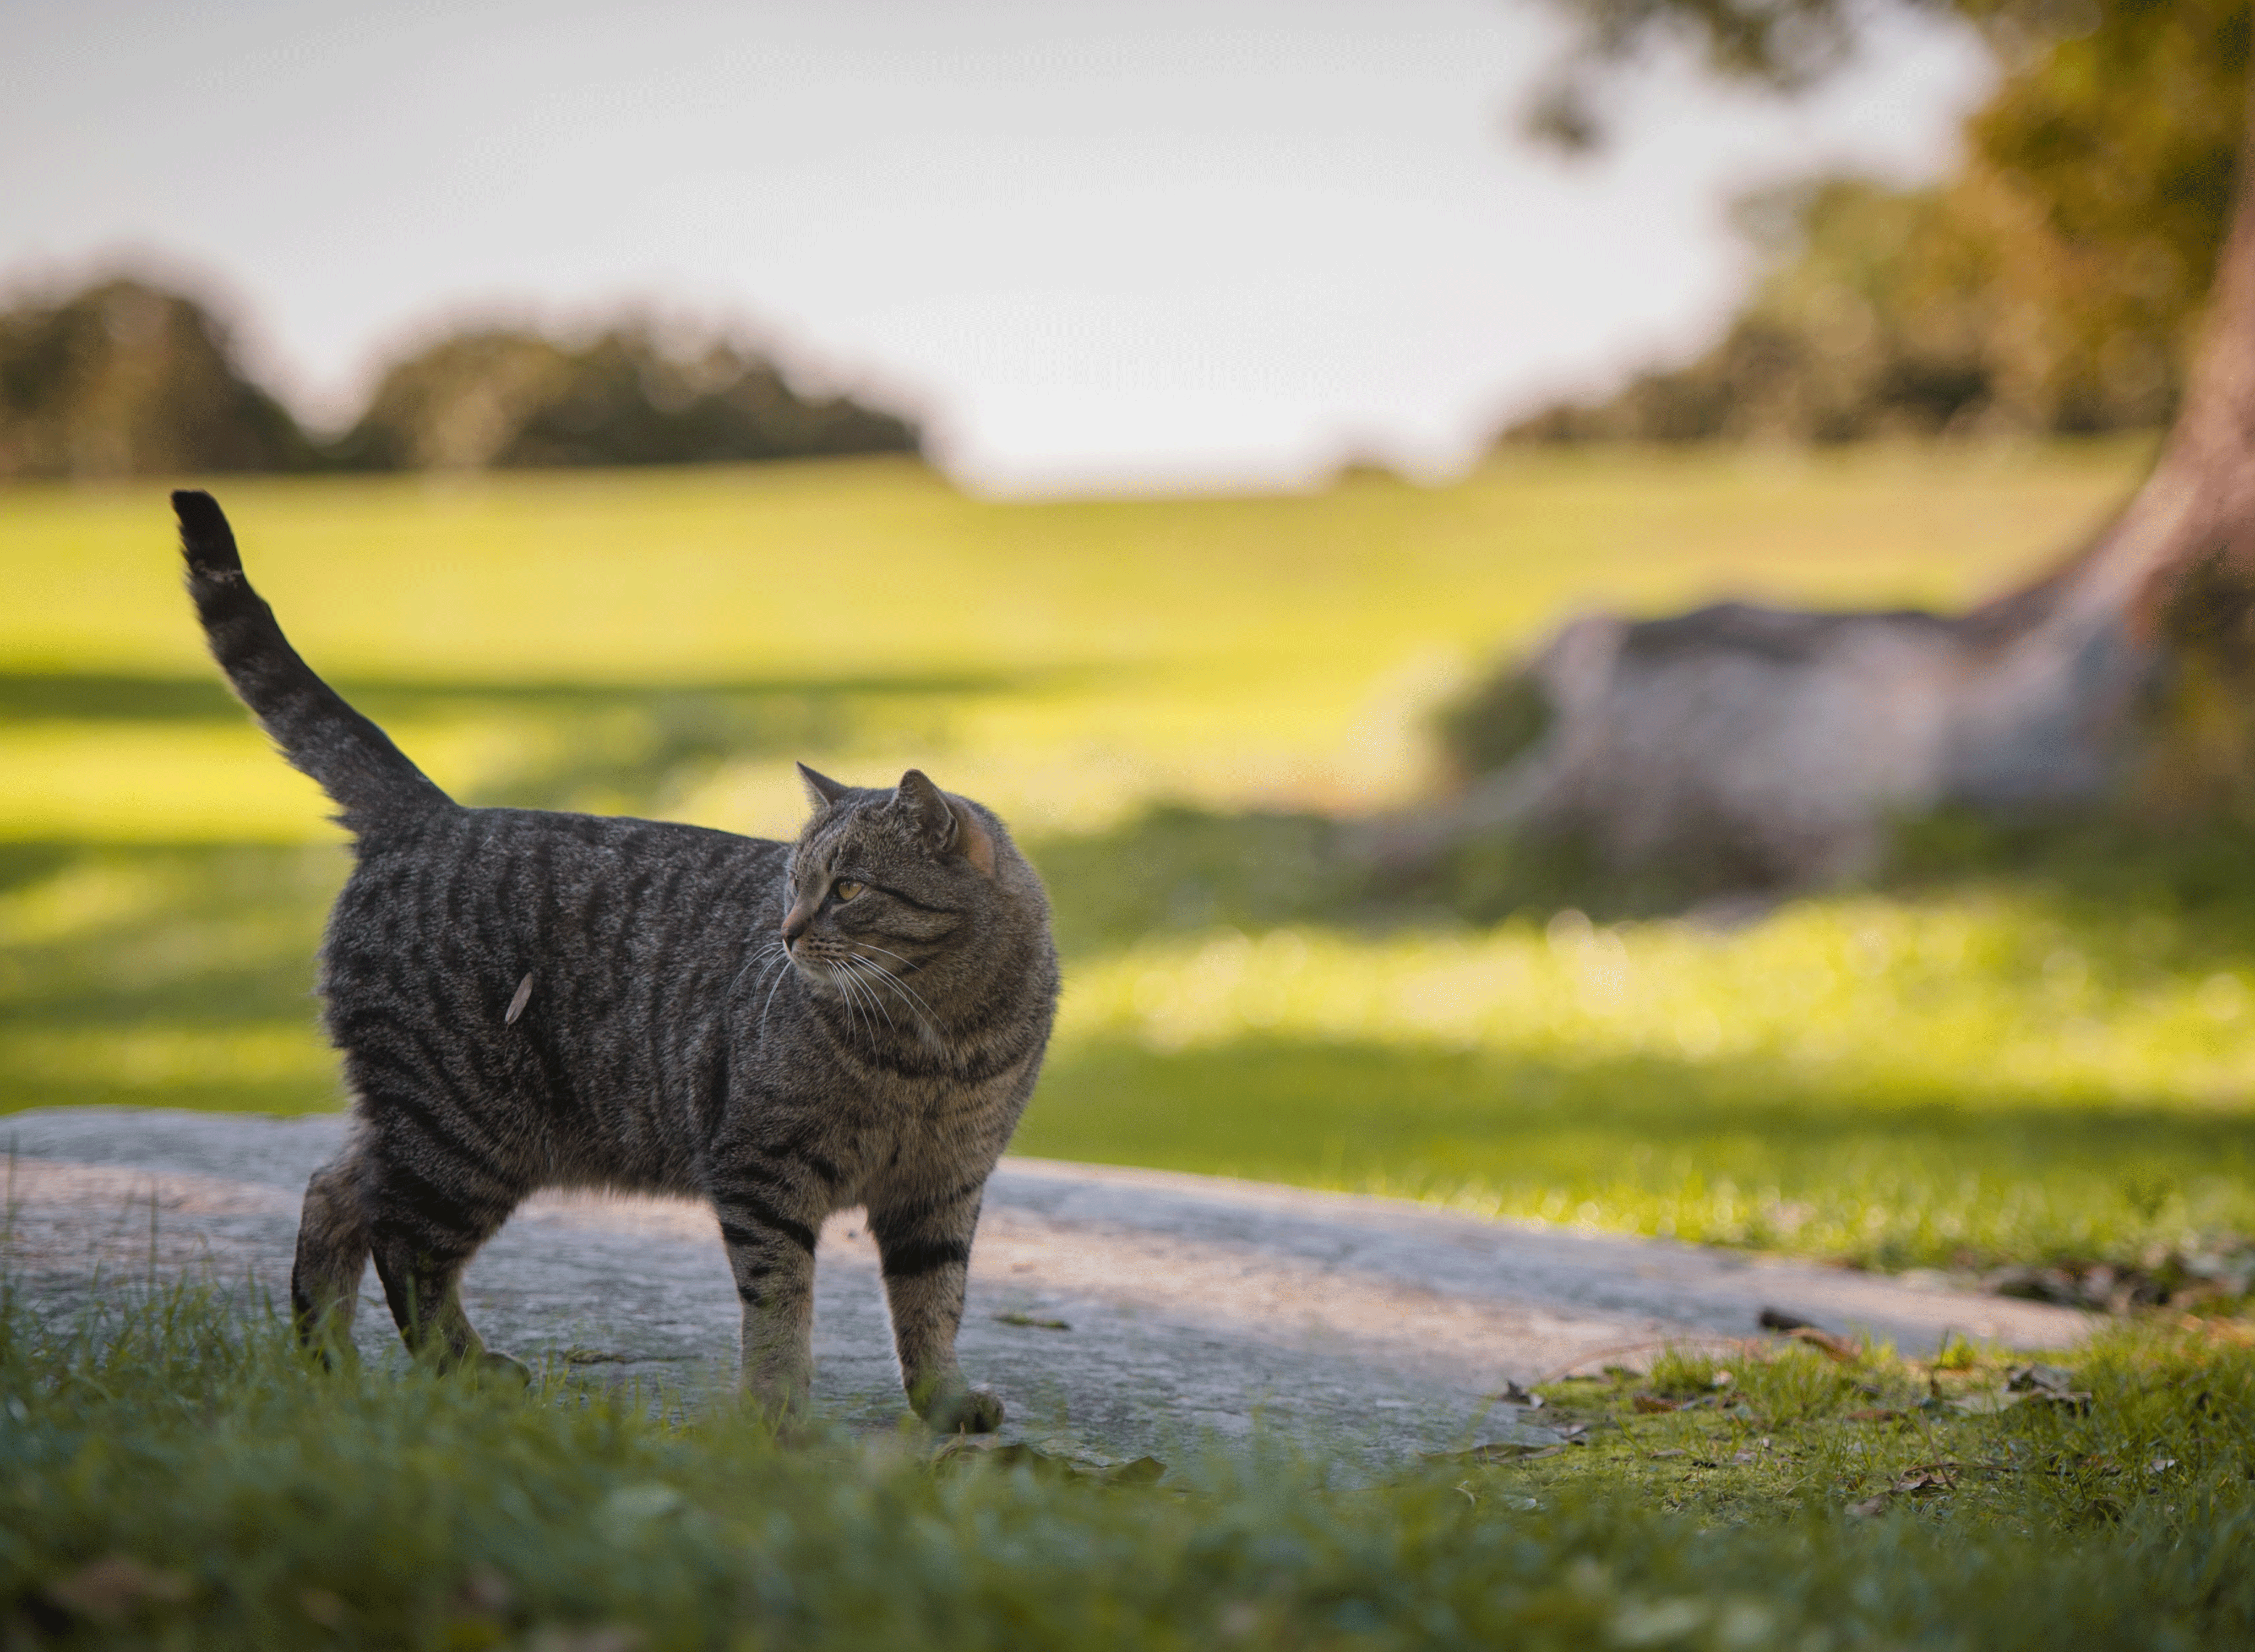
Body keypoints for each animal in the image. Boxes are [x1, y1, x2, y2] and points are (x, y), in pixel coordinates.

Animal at [176, 489, 1055, 1433]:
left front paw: (945, 1399)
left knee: (335, 1194)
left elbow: (933, 1304)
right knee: (401, 1239)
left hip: (428, 1125)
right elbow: (780, 1302)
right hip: (464, 1129)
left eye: (847, 888)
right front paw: (777, 1412)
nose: (785, 933)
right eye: (793, 884)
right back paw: (461, 1368)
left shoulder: (943, 1188)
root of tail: (433, 813)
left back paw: (329, 1363)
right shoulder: (762, 1173)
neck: (934, 1043)